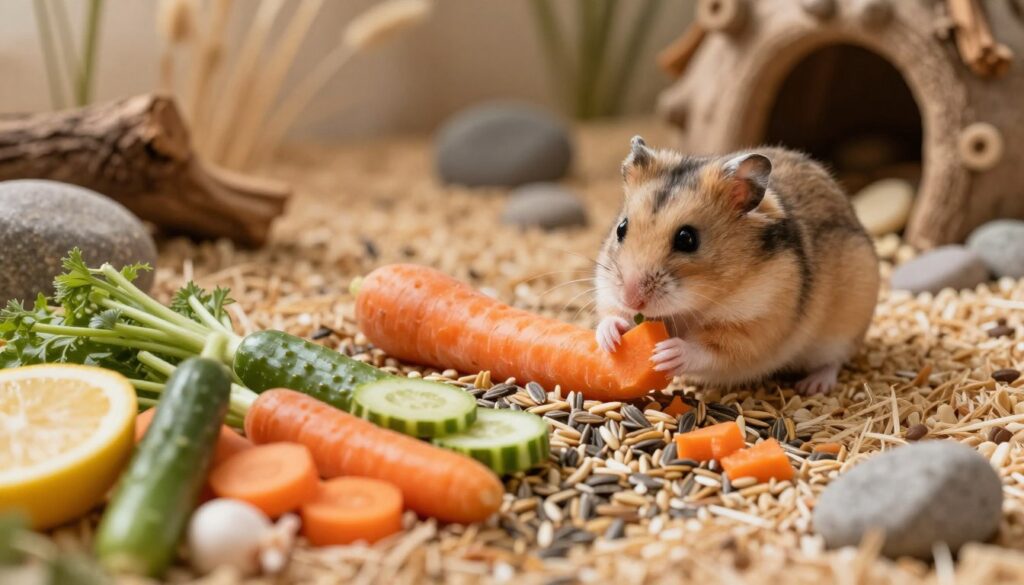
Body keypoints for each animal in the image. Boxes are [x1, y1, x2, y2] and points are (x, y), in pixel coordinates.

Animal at [594, 137, 879, 394]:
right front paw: (611, 338)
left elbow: (710, 350)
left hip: (844, 329)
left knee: (835, 361)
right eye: (621, 228)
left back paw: (813, 386)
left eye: (687, 239)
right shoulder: (607, 290)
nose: (631, 299)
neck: (691, 307)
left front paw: (668, 353)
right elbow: (611, 314)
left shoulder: (754, 325)